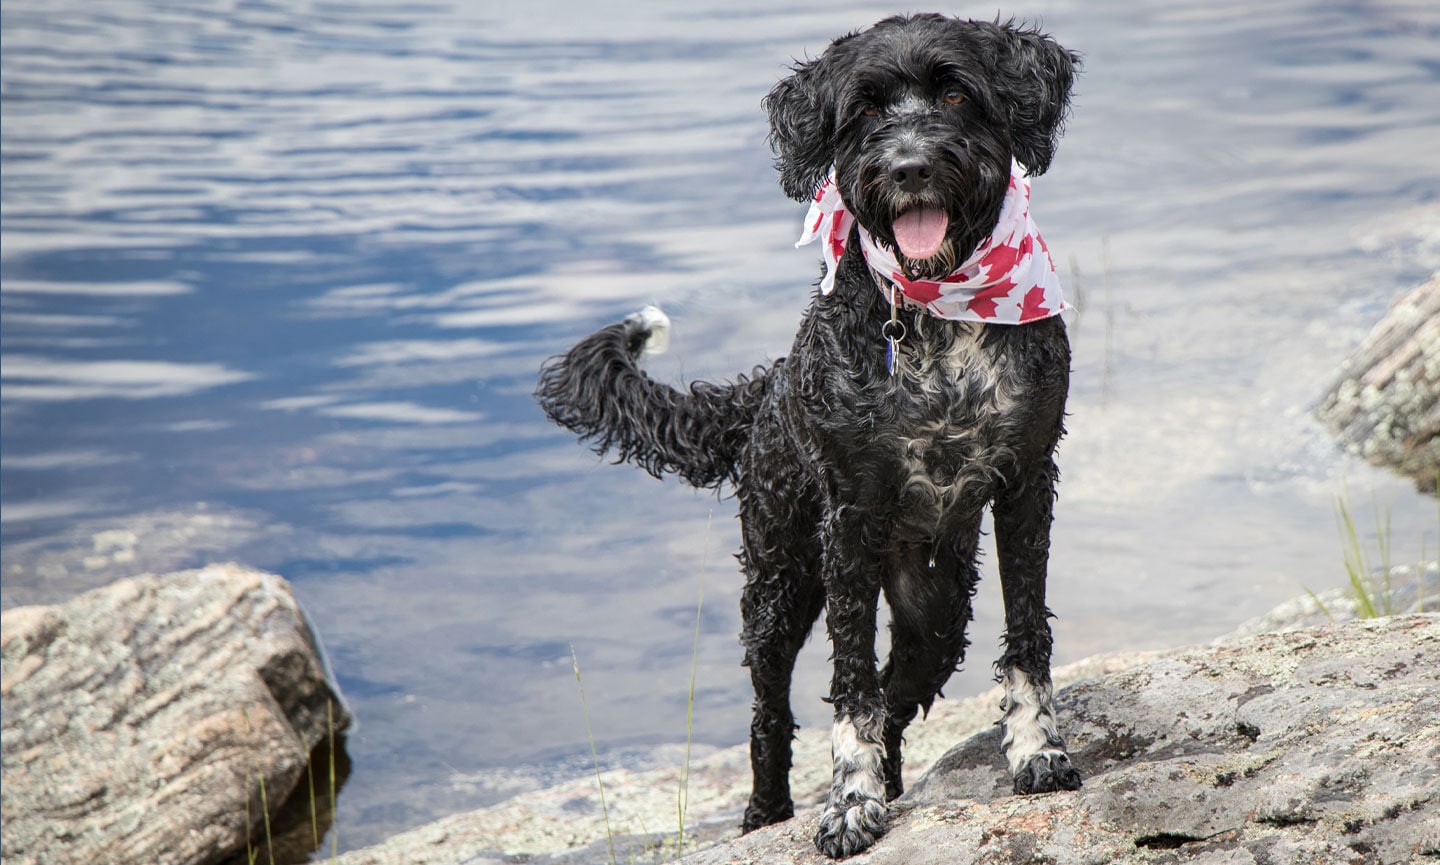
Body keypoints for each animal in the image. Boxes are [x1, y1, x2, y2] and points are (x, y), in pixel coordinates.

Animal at [538, 13, 1082, 857]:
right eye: (864, 109)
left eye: (956, 93)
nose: (909, 165)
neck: (934, 310)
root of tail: (766, 387)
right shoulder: (849, 520)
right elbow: (849, 683)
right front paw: (850, 803)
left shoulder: (1027, 480)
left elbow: (1025, 634)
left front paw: (1036, 749)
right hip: (778, 584)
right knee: (771, 714)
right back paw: (767, 812)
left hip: (935, 607)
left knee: (900, 692)